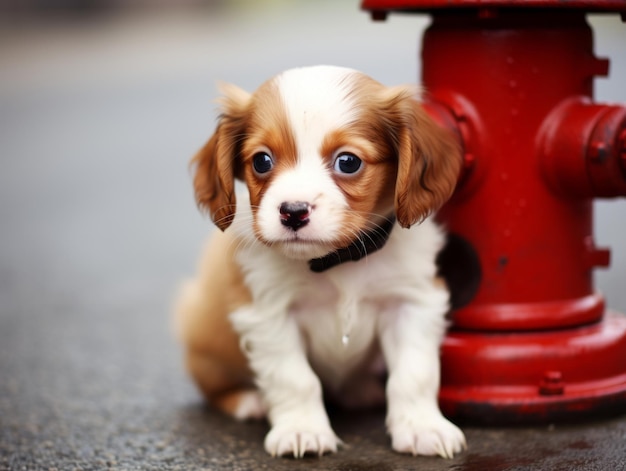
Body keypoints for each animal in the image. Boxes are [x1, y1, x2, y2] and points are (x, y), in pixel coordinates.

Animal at [174, 64, 464, 460]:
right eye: (262, 161)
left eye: (348, 161)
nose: (293, 212)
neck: (337, 261)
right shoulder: (269, 313)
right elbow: (295, 379)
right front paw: (302, 430)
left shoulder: (412, 301)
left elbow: (414, 375)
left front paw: (423, 427)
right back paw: (249, 400)